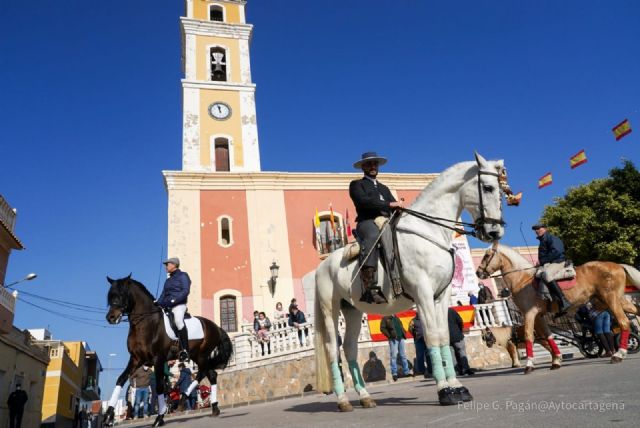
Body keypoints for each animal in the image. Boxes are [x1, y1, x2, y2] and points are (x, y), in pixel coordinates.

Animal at [104, 276, 234, 426]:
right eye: (110, 296)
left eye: (122, 295)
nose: (110, 317)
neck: (146, 324)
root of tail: (215, 326)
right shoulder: (136, 359)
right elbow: (120, 379)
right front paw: (108, 416)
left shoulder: (158, 359)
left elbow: (160, 387)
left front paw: (159, 418)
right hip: (196, 356)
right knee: (211, 374)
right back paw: (214, 408)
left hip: (202, 355)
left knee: (203, 373)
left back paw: (184, 398)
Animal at [314, 152, 504, 410]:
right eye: (487, 187)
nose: (495, 232)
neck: (430, 232)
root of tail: (322, 266)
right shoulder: (423, 293)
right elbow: (432, 336)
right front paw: (445, 391)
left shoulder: (441, 295)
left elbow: (444, 335)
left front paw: (458, 387)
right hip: (330, 309)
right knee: (333, 349)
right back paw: (343, 400)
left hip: (352, 310)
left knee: (350, 349)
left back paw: (365, 397)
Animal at [476, 242, 640, 372]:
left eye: (487, 256)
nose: (478, 272)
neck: (522, 279)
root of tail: (617, 265)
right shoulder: (539, 316)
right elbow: (548, 337)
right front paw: (556, 360)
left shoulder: (529, 314)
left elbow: (529, 336)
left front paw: (529, 364)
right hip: (615, 300)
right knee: (636, 311)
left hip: (611, 299)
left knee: (624, 322)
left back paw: (619, 354)